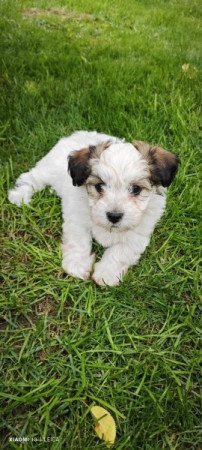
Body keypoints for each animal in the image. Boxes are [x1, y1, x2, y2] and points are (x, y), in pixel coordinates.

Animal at [7, 131, 178, 284]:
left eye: (136, 189)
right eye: (99, 186)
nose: (114, 216)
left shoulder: (138, 235)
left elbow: (120, 252)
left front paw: (106, 274)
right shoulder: (77, 221)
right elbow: (79, 242)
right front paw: (77, 266)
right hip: (47, 170)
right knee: (31, 178)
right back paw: (19, 195)